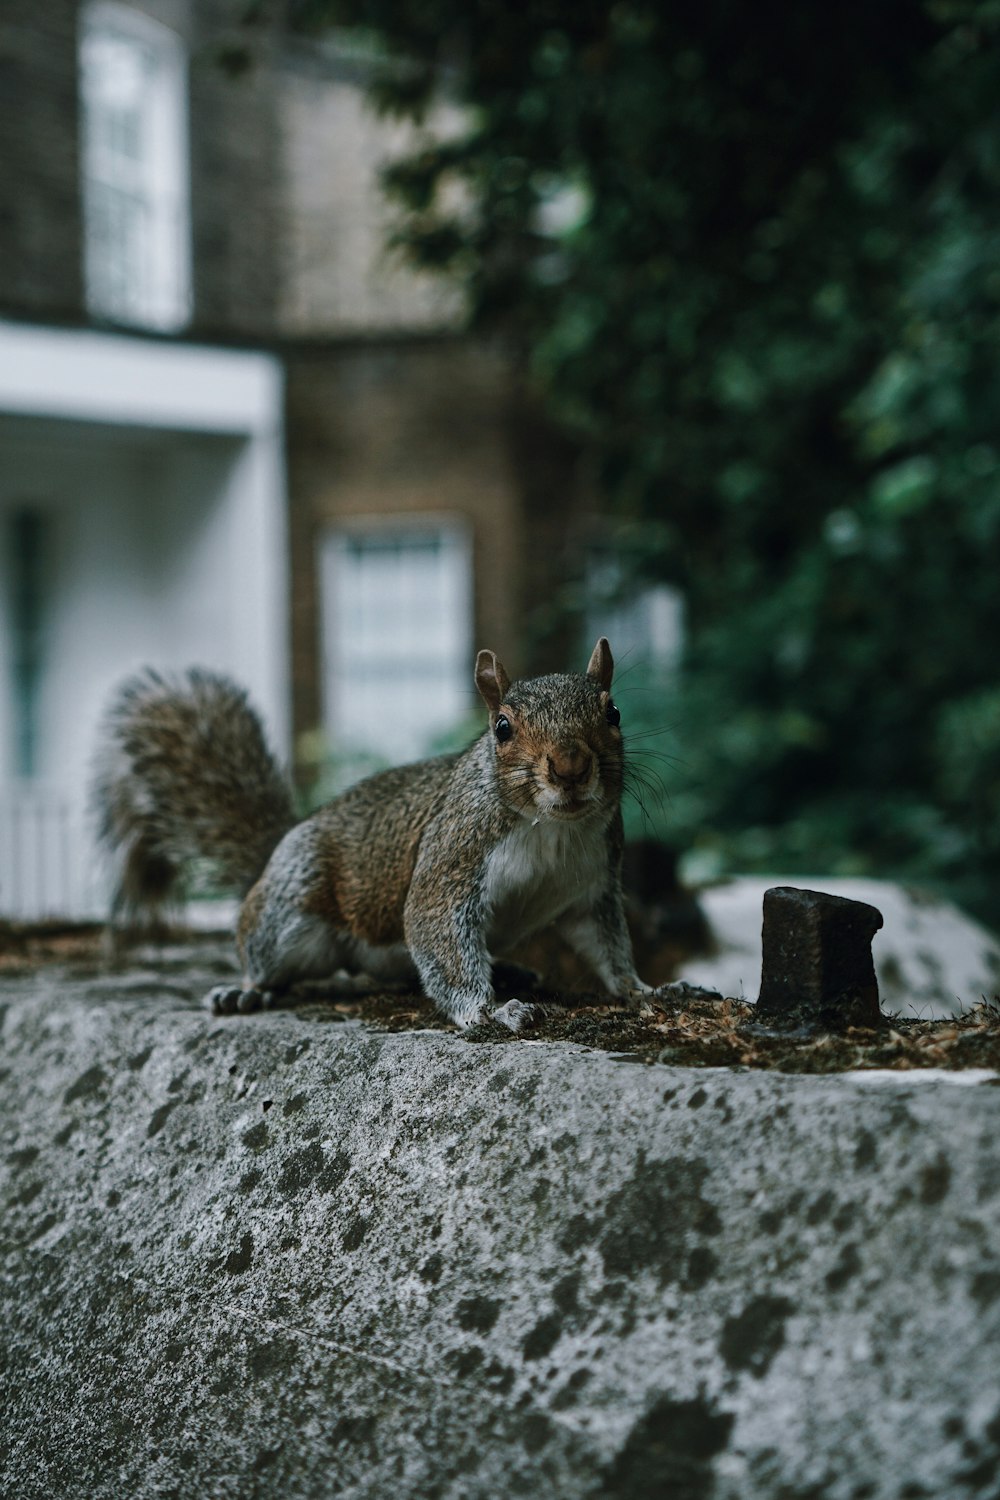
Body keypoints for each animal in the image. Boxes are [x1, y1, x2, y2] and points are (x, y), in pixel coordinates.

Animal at [91, 633, 656, 1032]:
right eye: (502, 727)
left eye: (613, 712)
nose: (570, 767)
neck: (550, 827)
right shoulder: (450, 859)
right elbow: (435, 929)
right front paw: (489, 1012)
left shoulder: (593, 885)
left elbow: (606, 943)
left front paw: (642, 990)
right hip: (290, 904)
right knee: (265, 954)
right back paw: (246, 990)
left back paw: (511, 971)